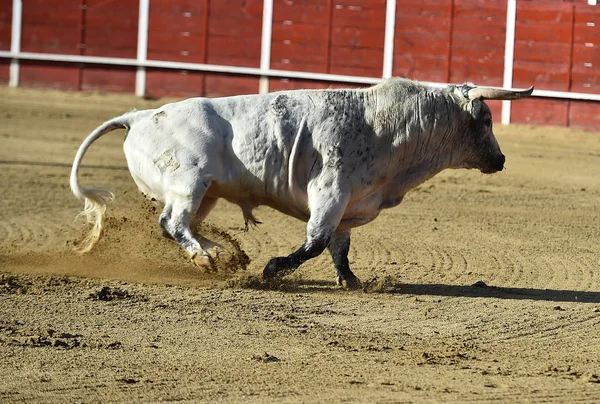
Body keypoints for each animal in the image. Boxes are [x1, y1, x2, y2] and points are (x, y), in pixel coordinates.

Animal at [70, 78, 536, 288]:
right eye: (486, 119)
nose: (500, 160)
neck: (391, 127)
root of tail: (140, 116)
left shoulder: (350, 204)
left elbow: (339, 249)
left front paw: (352, 282)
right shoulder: (330, 193)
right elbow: (314, 242)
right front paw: (272, 269)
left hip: (205, 193)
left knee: (181, 225)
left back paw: (220, 255)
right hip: (189, 184)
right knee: (173, 223)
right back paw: (207, 258)